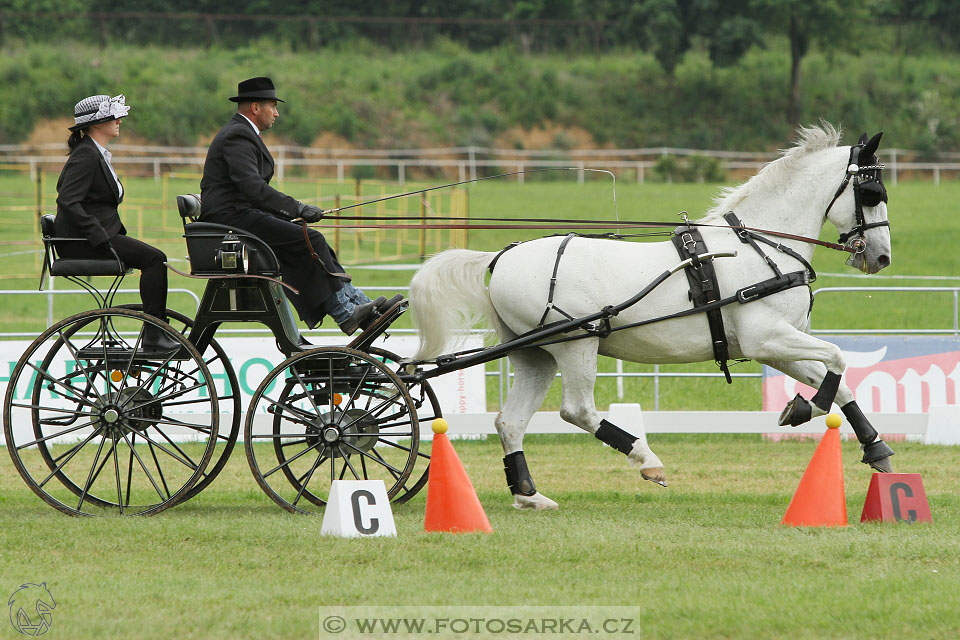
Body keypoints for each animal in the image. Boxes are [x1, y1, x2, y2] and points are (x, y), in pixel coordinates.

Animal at [410, 124, 892, 510]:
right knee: (577, 410)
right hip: (577, 344)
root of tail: (501, 256)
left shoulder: (773, 346)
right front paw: (803, 409)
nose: (881, 257)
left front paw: (875, 447)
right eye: (872, 194)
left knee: (510, 422)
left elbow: (838, 379)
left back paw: (529, 494)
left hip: (537, 355)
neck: (760, 246)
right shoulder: (766, 337)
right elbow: (837, 360)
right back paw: (647, 461)